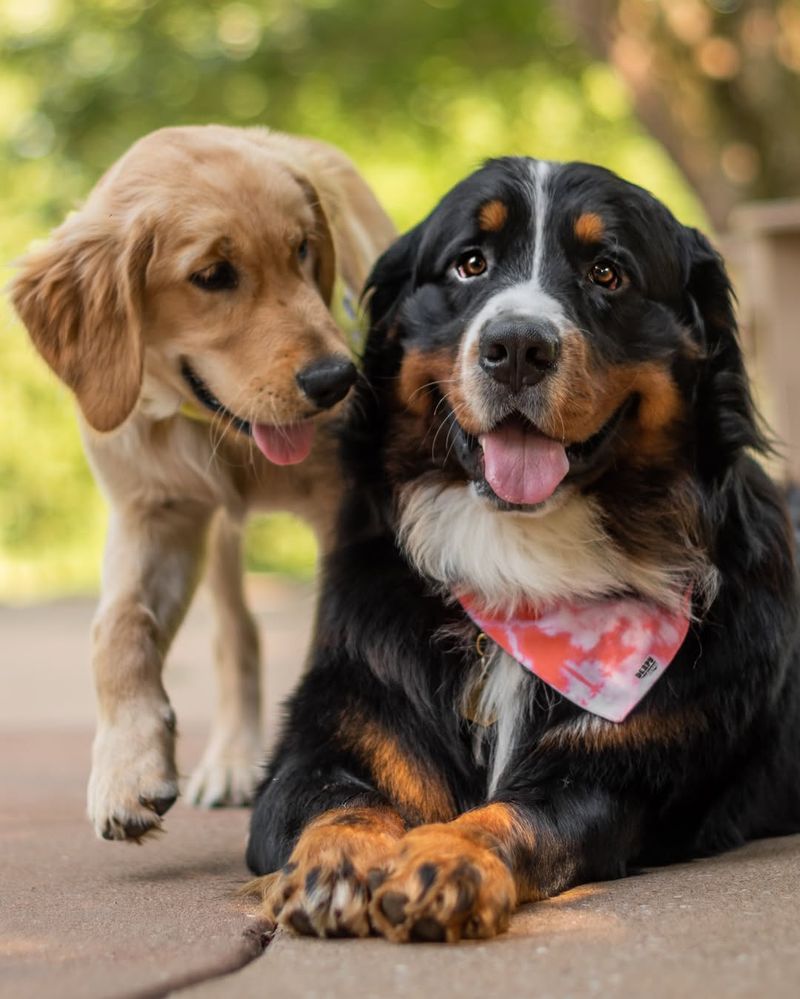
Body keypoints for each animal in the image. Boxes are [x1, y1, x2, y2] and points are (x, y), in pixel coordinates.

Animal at [6, 125, 394, 844]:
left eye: (304, 249)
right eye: (212, 276)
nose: (337, 380)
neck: (208, 427)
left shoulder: (350, 508)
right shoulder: (156, 511)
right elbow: (116, 628)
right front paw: (126, 770)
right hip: (219, 540)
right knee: (236, 632)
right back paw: (234, 761)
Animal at [245, 158, 800, 944]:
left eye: (607, 272)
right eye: (470, 263)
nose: (515, 348)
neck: (520, 570)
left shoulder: (609, 778)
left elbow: (512, 816)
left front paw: (443, 860)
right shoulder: (335, 731)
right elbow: (338, 800)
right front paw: (340, 864)